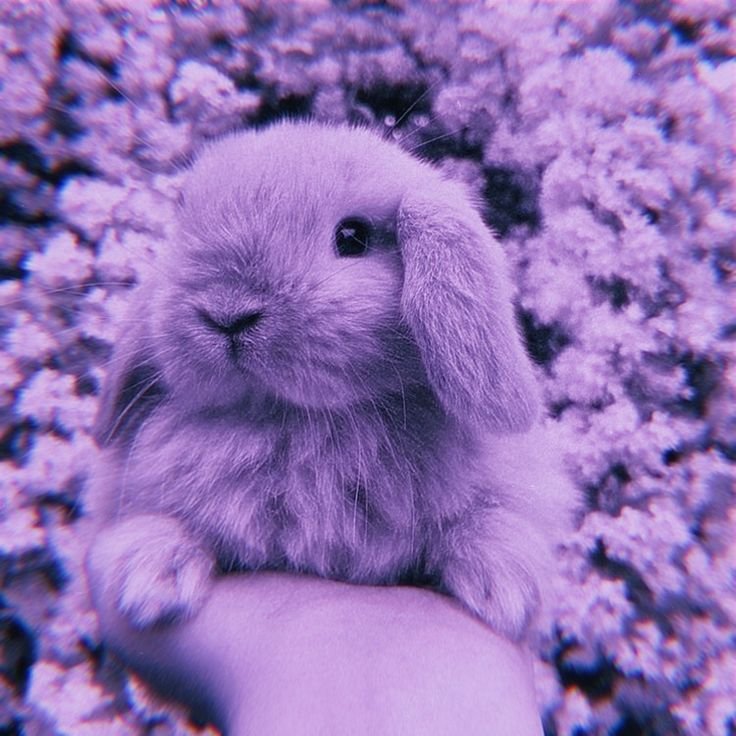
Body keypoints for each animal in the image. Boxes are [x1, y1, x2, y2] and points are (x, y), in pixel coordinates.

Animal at [85, 120, 575, 642]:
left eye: (352, 237)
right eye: (183, 223)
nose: (227, 313)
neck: (296, 420)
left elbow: (488, 522)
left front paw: (506, 589)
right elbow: (163, 522)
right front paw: (149, 577)